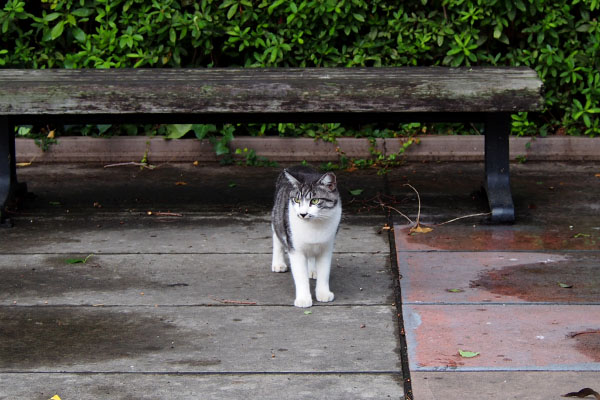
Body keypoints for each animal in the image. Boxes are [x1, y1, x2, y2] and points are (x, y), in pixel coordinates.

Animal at [272, 164, 342, 308]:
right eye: (297, 200)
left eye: (315, 200)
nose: (302, 214)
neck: (314, 225)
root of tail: (298, 165)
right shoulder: (295, 248)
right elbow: (300, 275)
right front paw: (303, 299)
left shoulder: (326, 247)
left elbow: (324, 272)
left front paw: (323, 293)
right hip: (278, 215)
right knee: (277, 235)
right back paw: (278, 263)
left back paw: (312, 269)